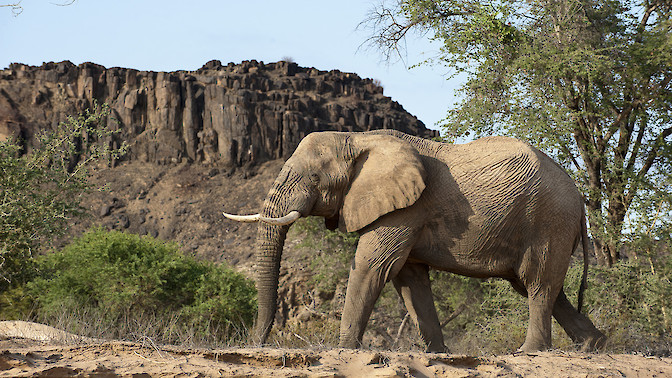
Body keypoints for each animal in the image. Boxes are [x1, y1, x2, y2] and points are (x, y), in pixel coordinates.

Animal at [223, 129, 608, 352]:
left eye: (314, 177)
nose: (256, 344)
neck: (358, 138)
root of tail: (579, 196)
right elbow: (409, 279)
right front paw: (437, 355)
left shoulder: (406, 208)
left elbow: (373, 266)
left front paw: (344, 349)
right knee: (542, 286)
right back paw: (592, 345)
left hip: (549, 220)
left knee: (538, 283)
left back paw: (530, 352)